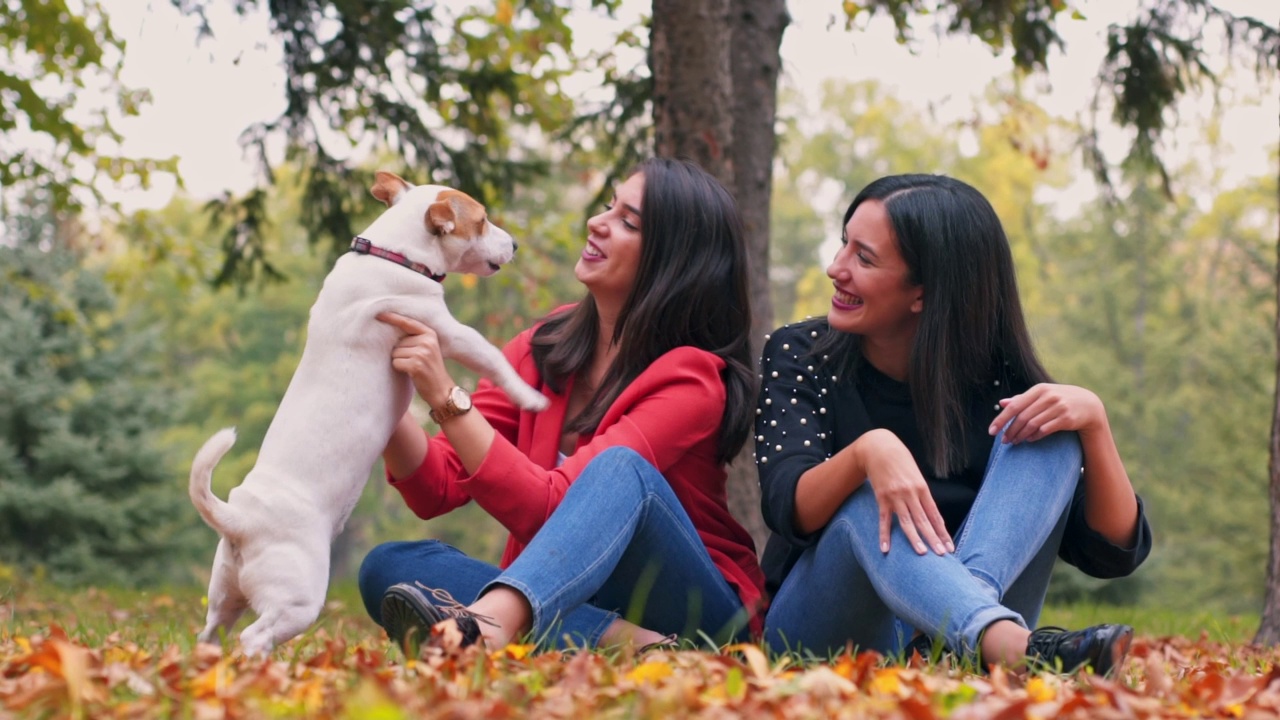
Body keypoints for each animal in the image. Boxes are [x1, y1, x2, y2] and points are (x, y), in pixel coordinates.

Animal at [188, 170, 545, 653]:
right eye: (483, 220)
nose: (516, 245)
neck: (395, 255)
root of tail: (241, 522)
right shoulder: (446, 331)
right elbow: (491, 356)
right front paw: (531, 396)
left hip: (224, 595)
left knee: (210, 635)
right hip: (297, 600)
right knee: (252, 637)